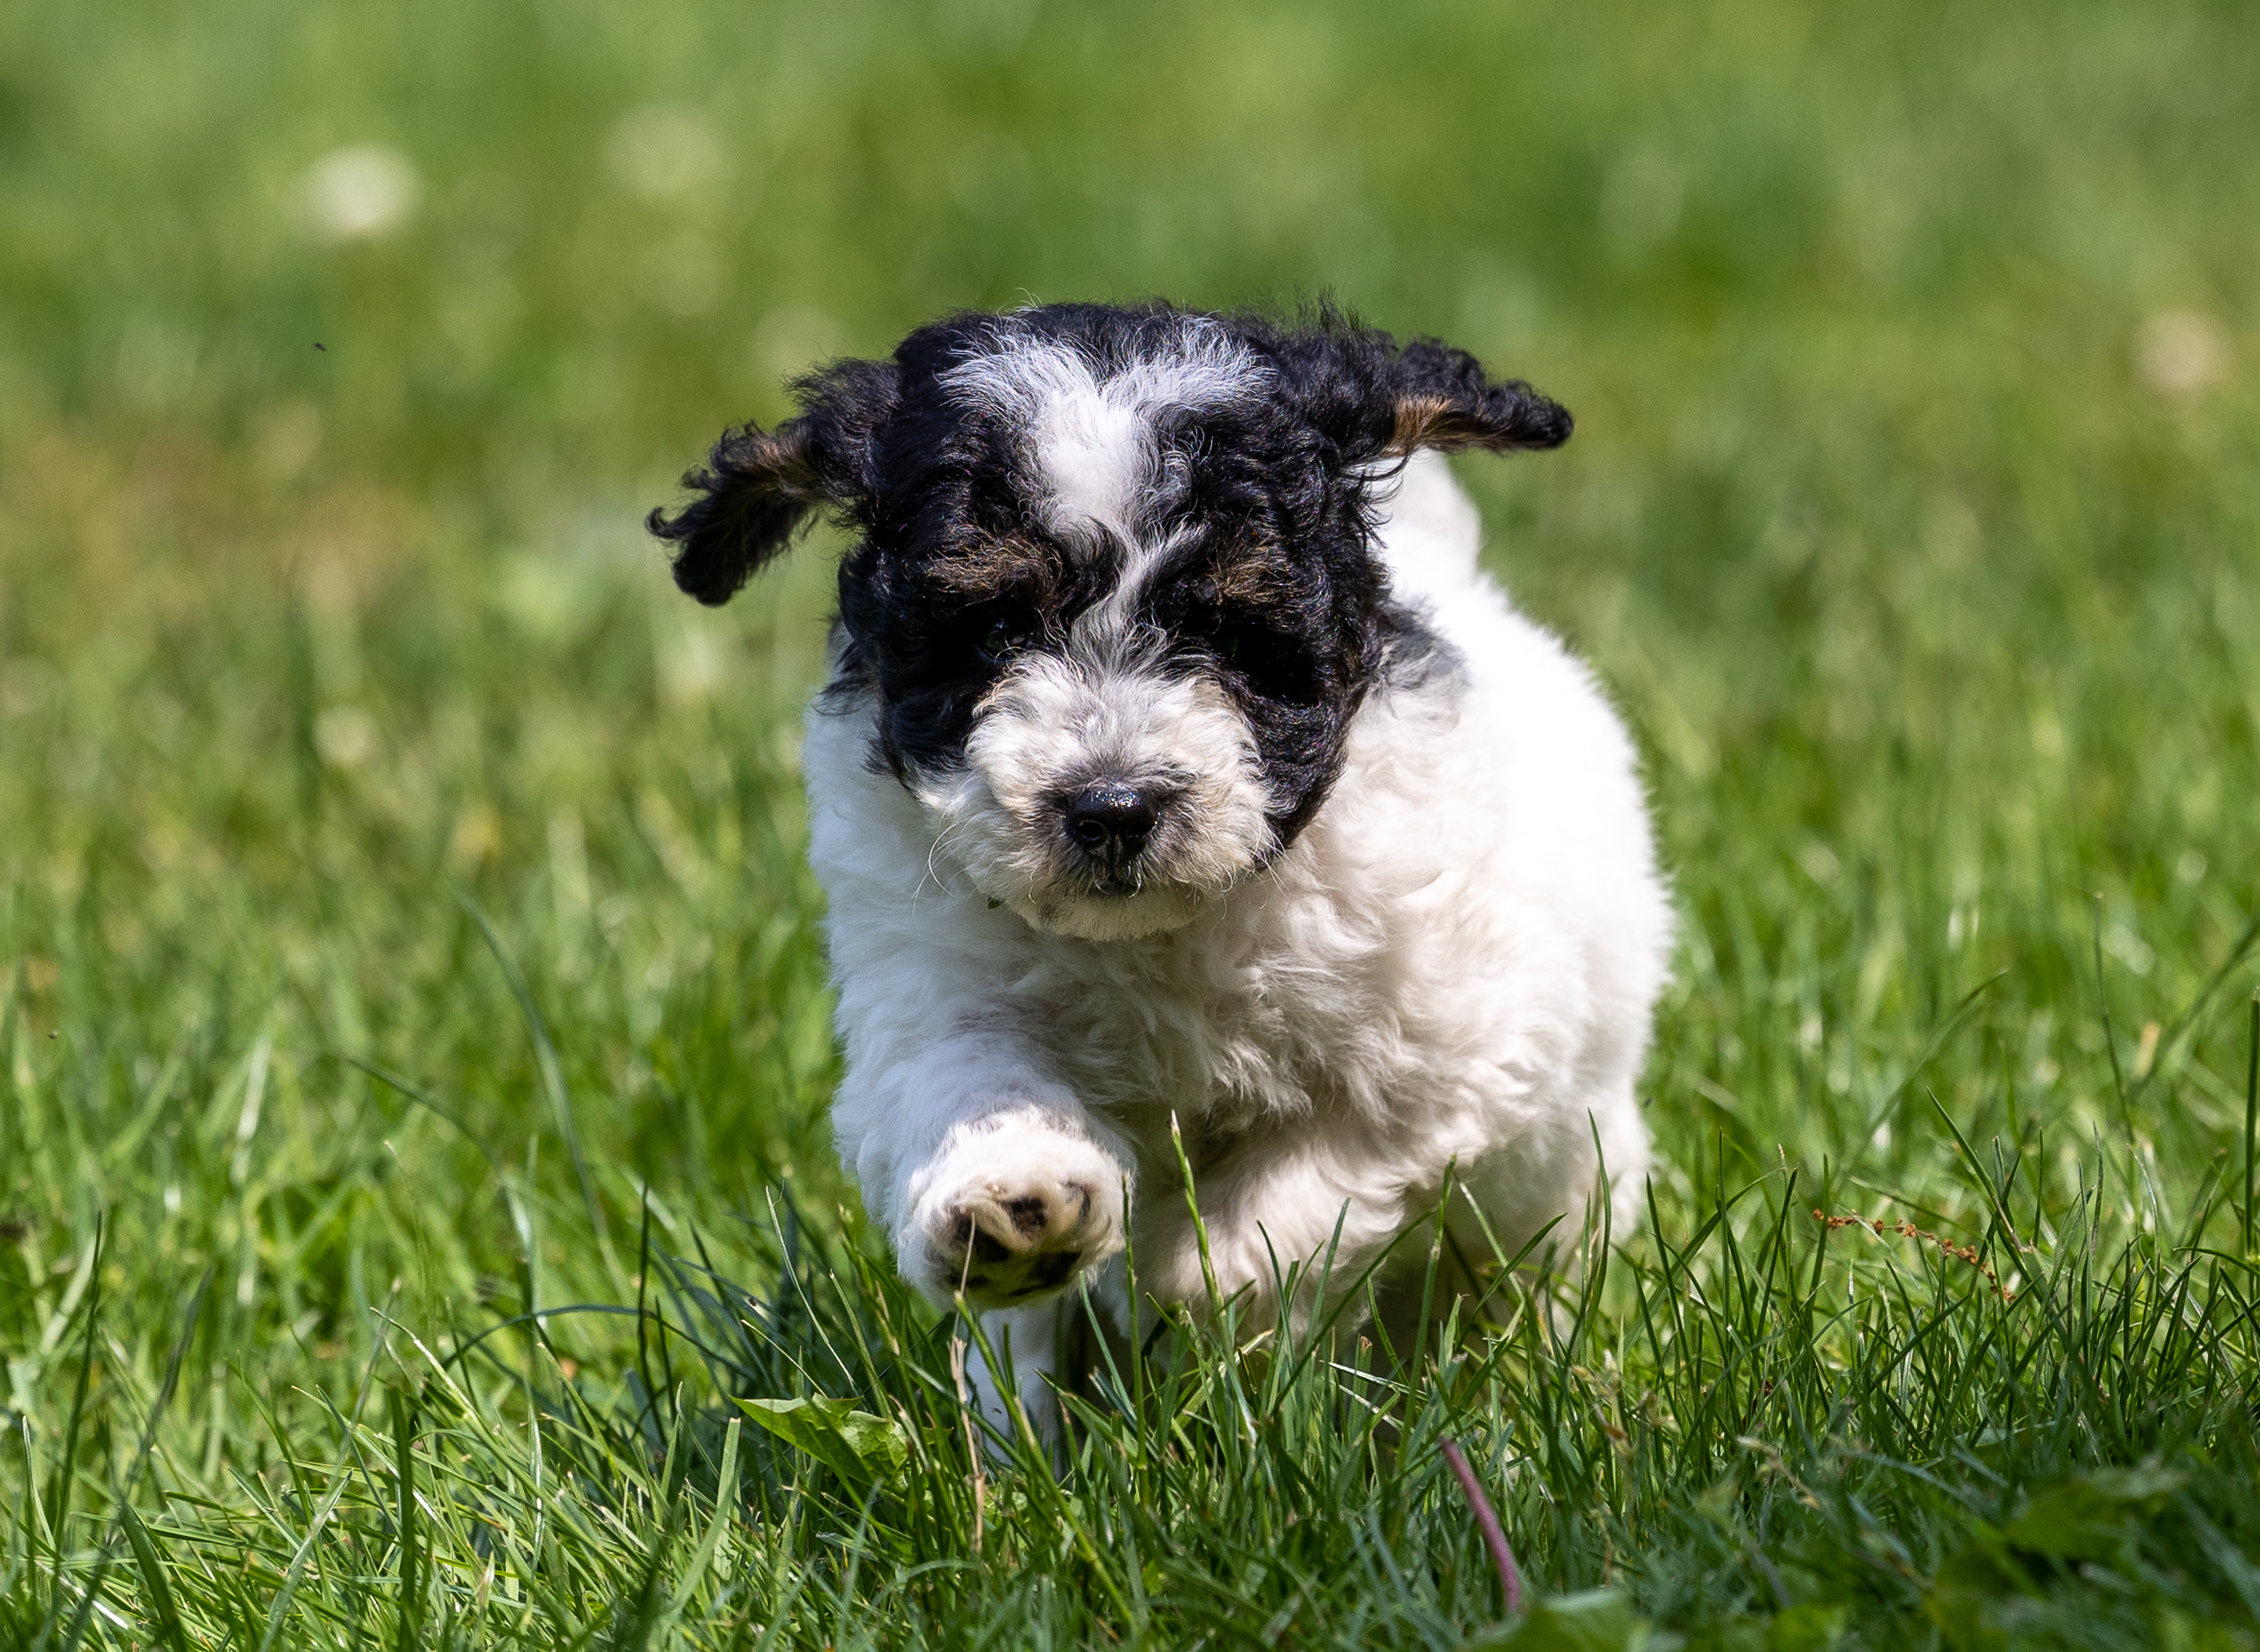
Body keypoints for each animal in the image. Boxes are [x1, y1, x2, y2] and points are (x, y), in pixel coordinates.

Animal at [646, 300, 1672, 1437]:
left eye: (1222, 628)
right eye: (994, 629)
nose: (1111, 806)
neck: (1161, 935)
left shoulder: (1451, 1038)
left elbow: (1323, 1167)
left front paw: (1189, 1277)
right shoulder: (931, 985)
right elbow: (966, 1081)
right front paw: (1015, 1201)